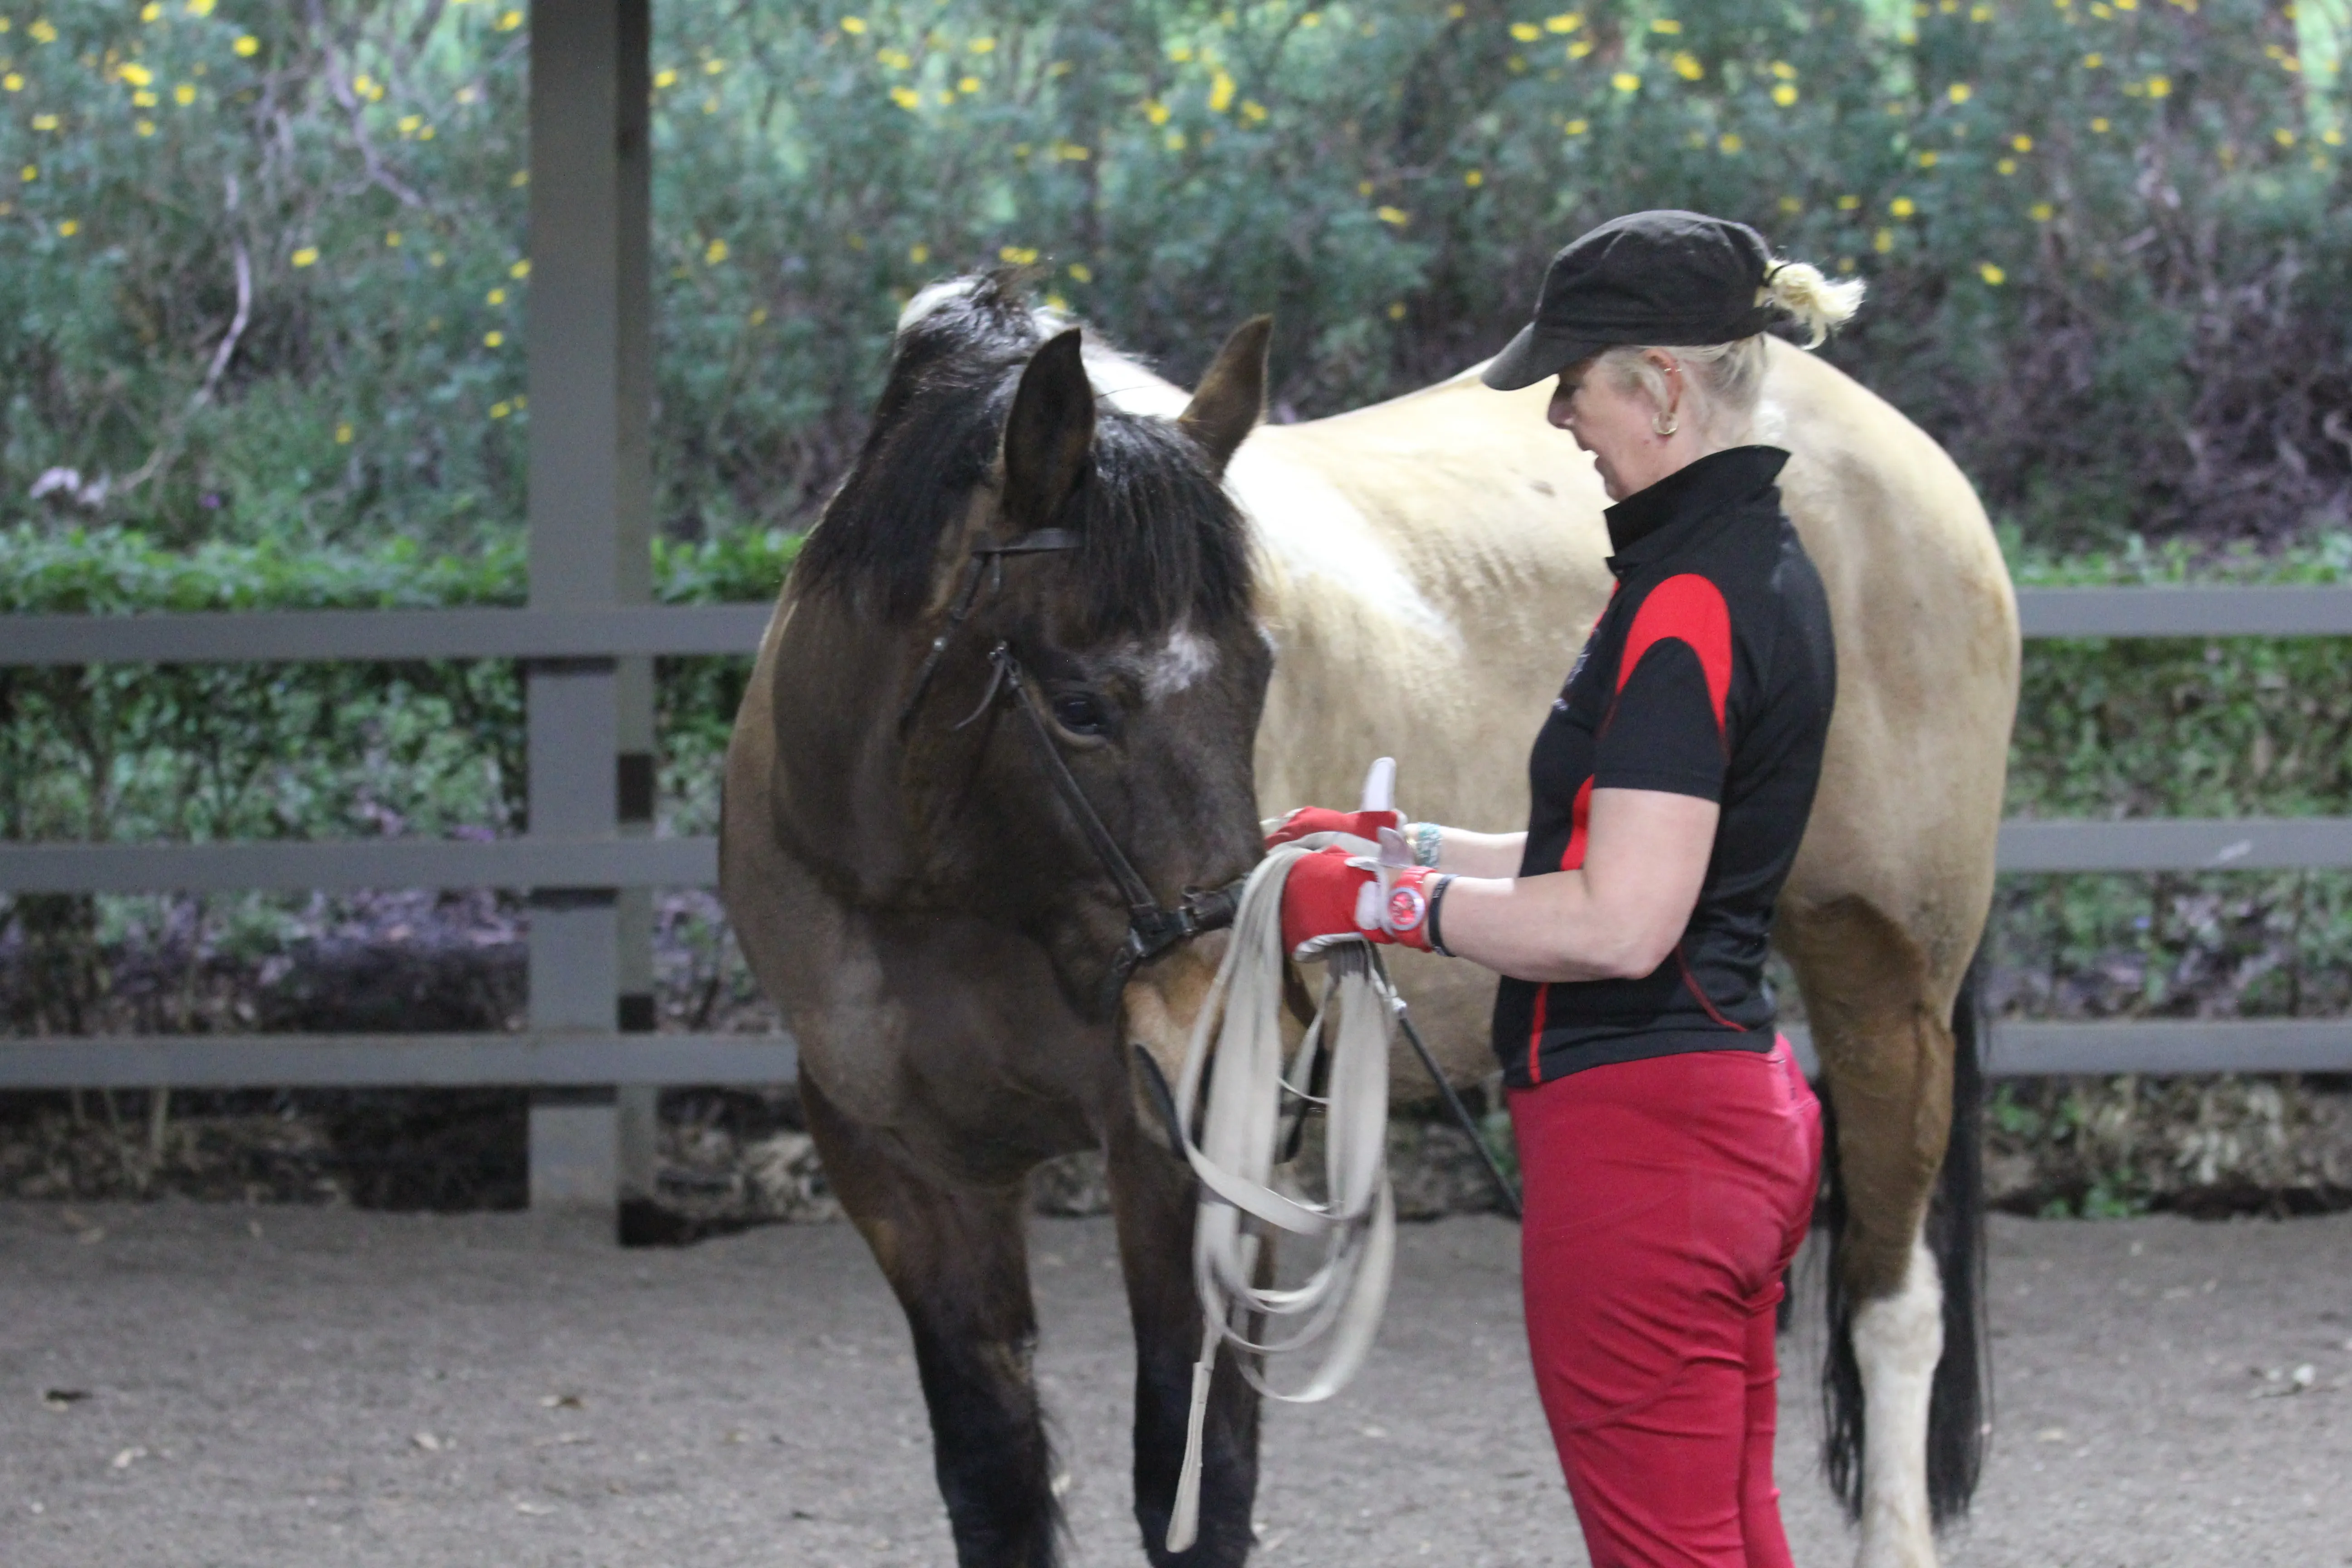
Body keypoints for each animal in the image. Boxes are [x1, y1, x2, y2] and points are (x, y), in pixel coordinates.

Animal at [724, 273, 2013, 1568]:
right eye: (1079, 706)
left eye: (1260, 671)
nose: (1223, 1044)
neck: (948, 892)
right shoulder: (907, 1176)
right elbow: (994, 1483)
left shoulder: (1191, 1172)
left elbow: (1195, 1483)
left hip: (1886, 989)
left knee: (1892, 1305)